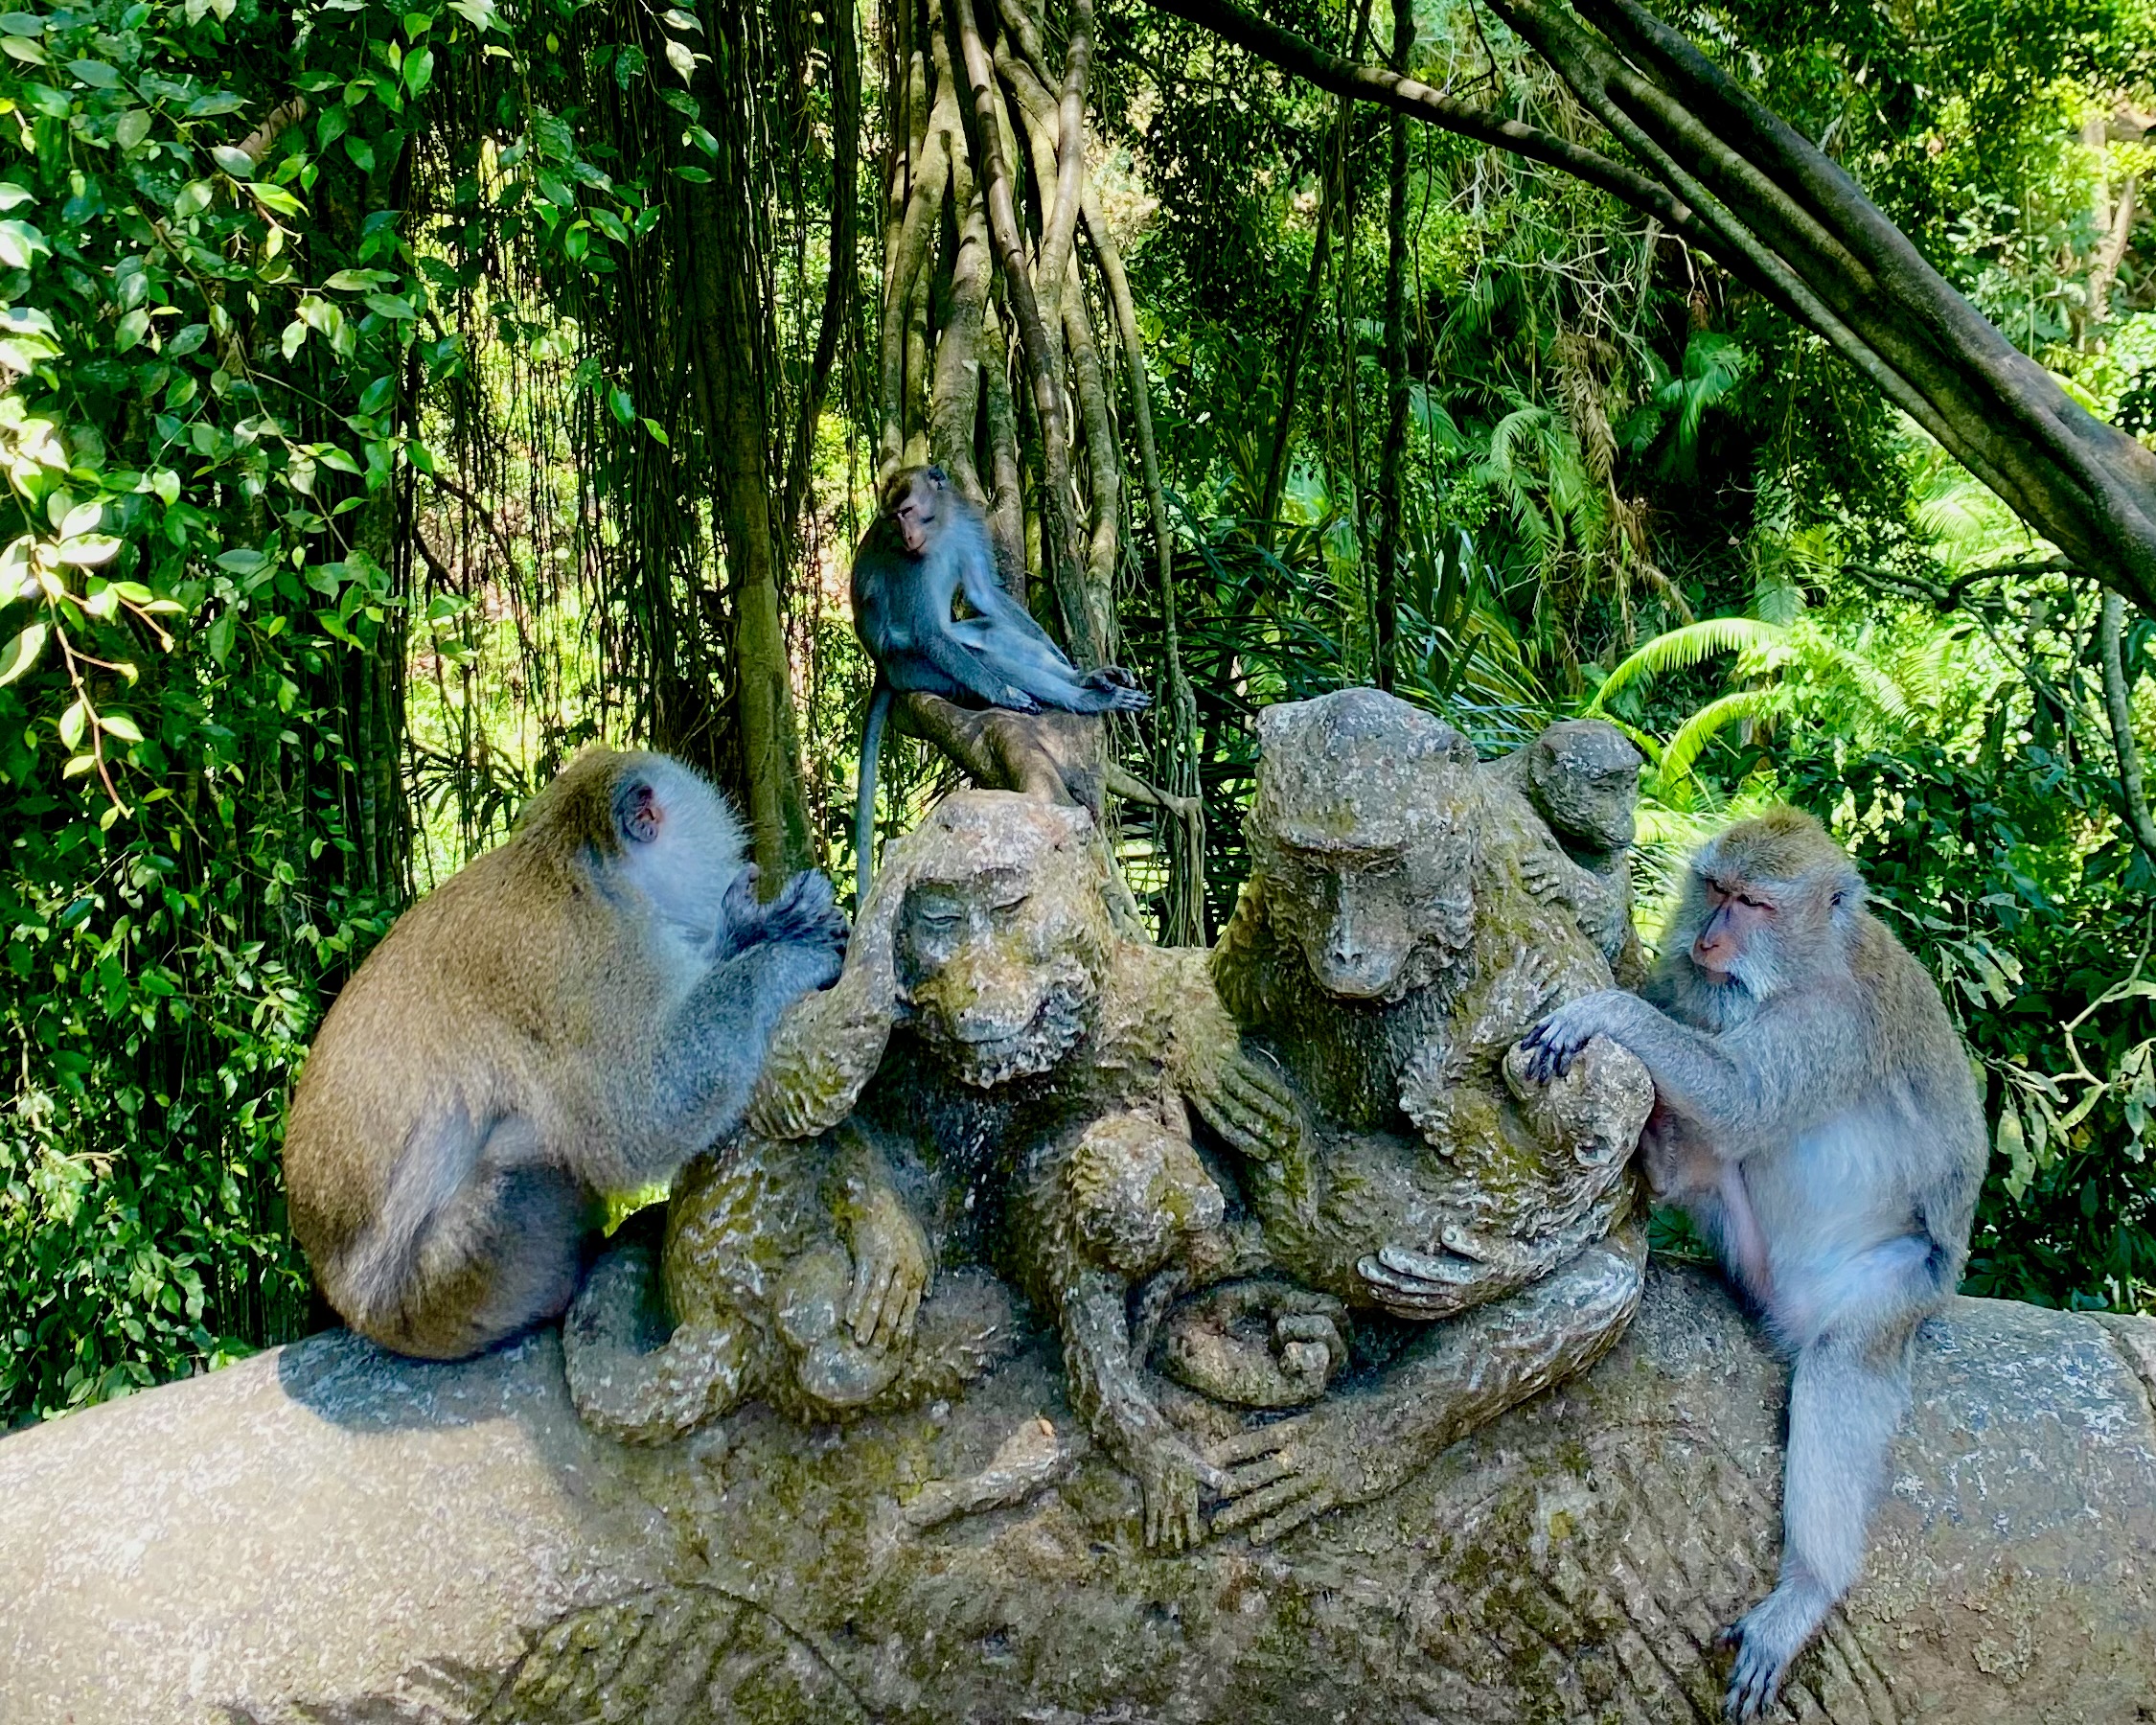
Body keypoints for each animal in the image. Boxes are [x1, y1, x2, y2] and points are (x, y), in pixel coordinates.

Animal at [283, 745, 850, 1362]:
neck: (579, 857)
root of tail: (348, 1304)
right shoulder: (584, 957)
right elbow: (640, 1111)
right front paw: (780, 948)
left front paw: (743, 932)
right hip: (449, 1285)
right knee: (532, 1148)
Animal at [851, 464, 1149, 893]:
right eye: (893, 518)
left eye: (906, 511)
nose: (906, 535)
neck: (939, 526)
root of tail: (882, 668)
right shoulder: (909, 567)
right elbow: (930, 633)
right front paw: (1005, 694)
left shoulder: (968, 522)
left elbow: (985, 596)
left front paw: (1077, 668)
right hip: (914, 668)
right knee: (976, 655)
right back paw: (1085, 699)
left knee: (992, 632)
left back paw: (1086, 682)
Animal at [1519, 808, 1987, 1719]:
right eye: (1716, 890)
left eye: (1755, 905)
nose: (1708, 941)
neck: (1810, 966)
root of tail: (1788, 1307)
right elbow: (1690, 1022)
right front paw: (1582, 896)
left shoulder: (1831, 1028)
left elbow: (1742, 1094)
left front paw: (1607, 1009)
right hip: (1748, 1247)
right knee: (1714, 1160)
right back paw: (1669, 1161)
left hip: (1896, 1287)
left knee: (1842, 1362)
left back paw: (1808, 1587)